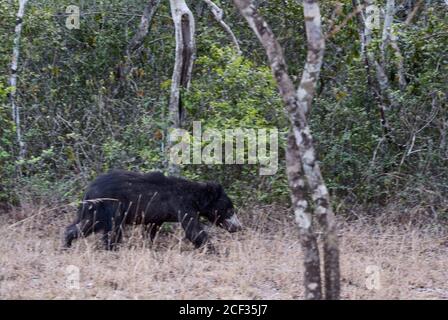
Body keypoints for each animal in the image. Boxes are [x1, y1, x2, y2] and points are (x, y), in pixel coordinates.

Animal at [63, 170, 242, 250]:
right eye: (230, 210)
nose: (238, 227)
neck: (195, 197)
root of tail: (89, 189)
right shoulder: (182, 205)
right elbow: (194, 230)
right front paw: (214, 249)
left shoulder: (157, 215)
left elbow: (151, 229)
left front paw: (149, 246)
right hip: (110, 207)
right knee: (111, 230)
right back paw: (111, 249)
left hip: (95, 209)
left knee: (84, 225)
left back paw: (67, 242)